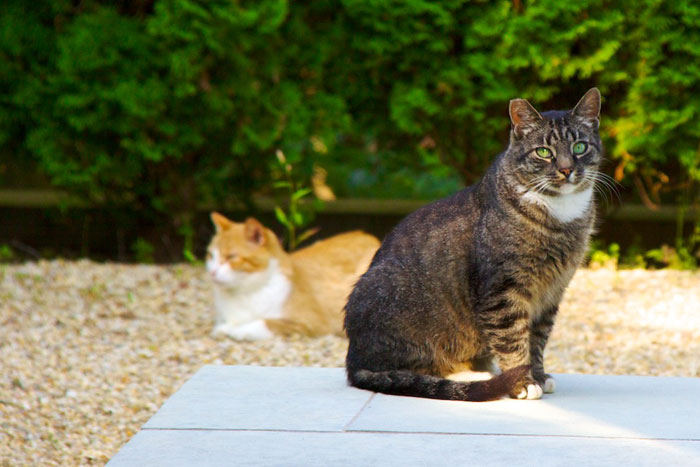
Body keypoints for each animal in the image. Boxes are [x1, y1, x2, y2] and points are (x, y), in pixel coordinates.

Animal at [205, 214, 380, 342]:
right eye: (211, 255)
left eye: (232, 257)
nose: (212, 272)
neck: (241, 293)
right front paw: (224, 328)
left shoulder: (311, 324)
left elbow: (266, 322)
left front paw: (237, 330)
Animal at [344, 88, 600, 402]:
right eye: (543, 152)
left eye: (579, 147)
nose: (566, 170)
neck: (562, 213)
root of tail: (353, 361)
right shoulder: (501, 291)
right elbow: (513, 340)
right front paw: (522, 382)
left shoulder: (551, 293)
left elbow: (537, 340)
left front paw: (538, 375)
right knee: (410, 370)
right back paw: (474, 377)